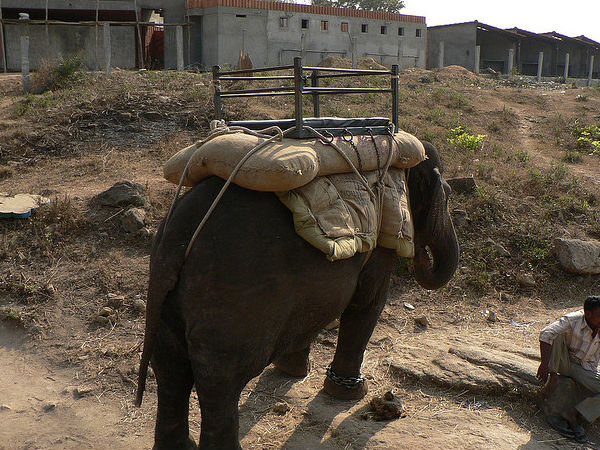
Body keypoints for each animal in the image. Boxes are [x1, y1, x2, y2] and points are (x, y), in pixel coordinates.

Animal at [135, 141, 454, 450]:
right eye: (448, 194)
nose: (421, 250)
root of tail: (178, 235)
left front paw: (294, 370)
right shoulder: (382, 235)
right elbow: (367, 301)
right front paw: (351, 392)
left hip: (169, 295)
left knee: (170, 365)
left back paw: (179, 445)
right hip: (235, 296)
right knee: (220, 376)